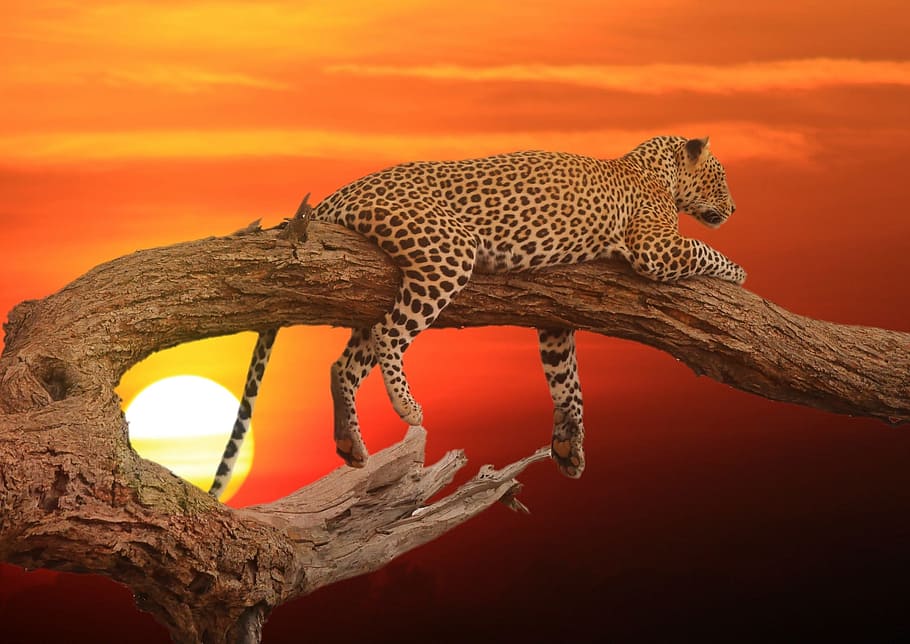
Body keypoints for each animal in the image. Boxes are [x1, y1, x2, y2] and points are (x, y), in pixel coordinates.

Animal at [208, 135, 744, 499]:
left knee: (346, 362)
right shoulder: (656, 248)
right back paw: (408, 408)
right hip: (447, 251)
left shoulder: (557, 319)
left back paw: (350, 443)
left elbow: (567, 382)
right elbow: (705, 250)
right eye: (720, 178)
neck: (654, 169)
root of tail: (339, 192)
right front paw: (739, 273)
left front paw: (569, 447)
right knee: (389, 335)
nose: (736, 208)